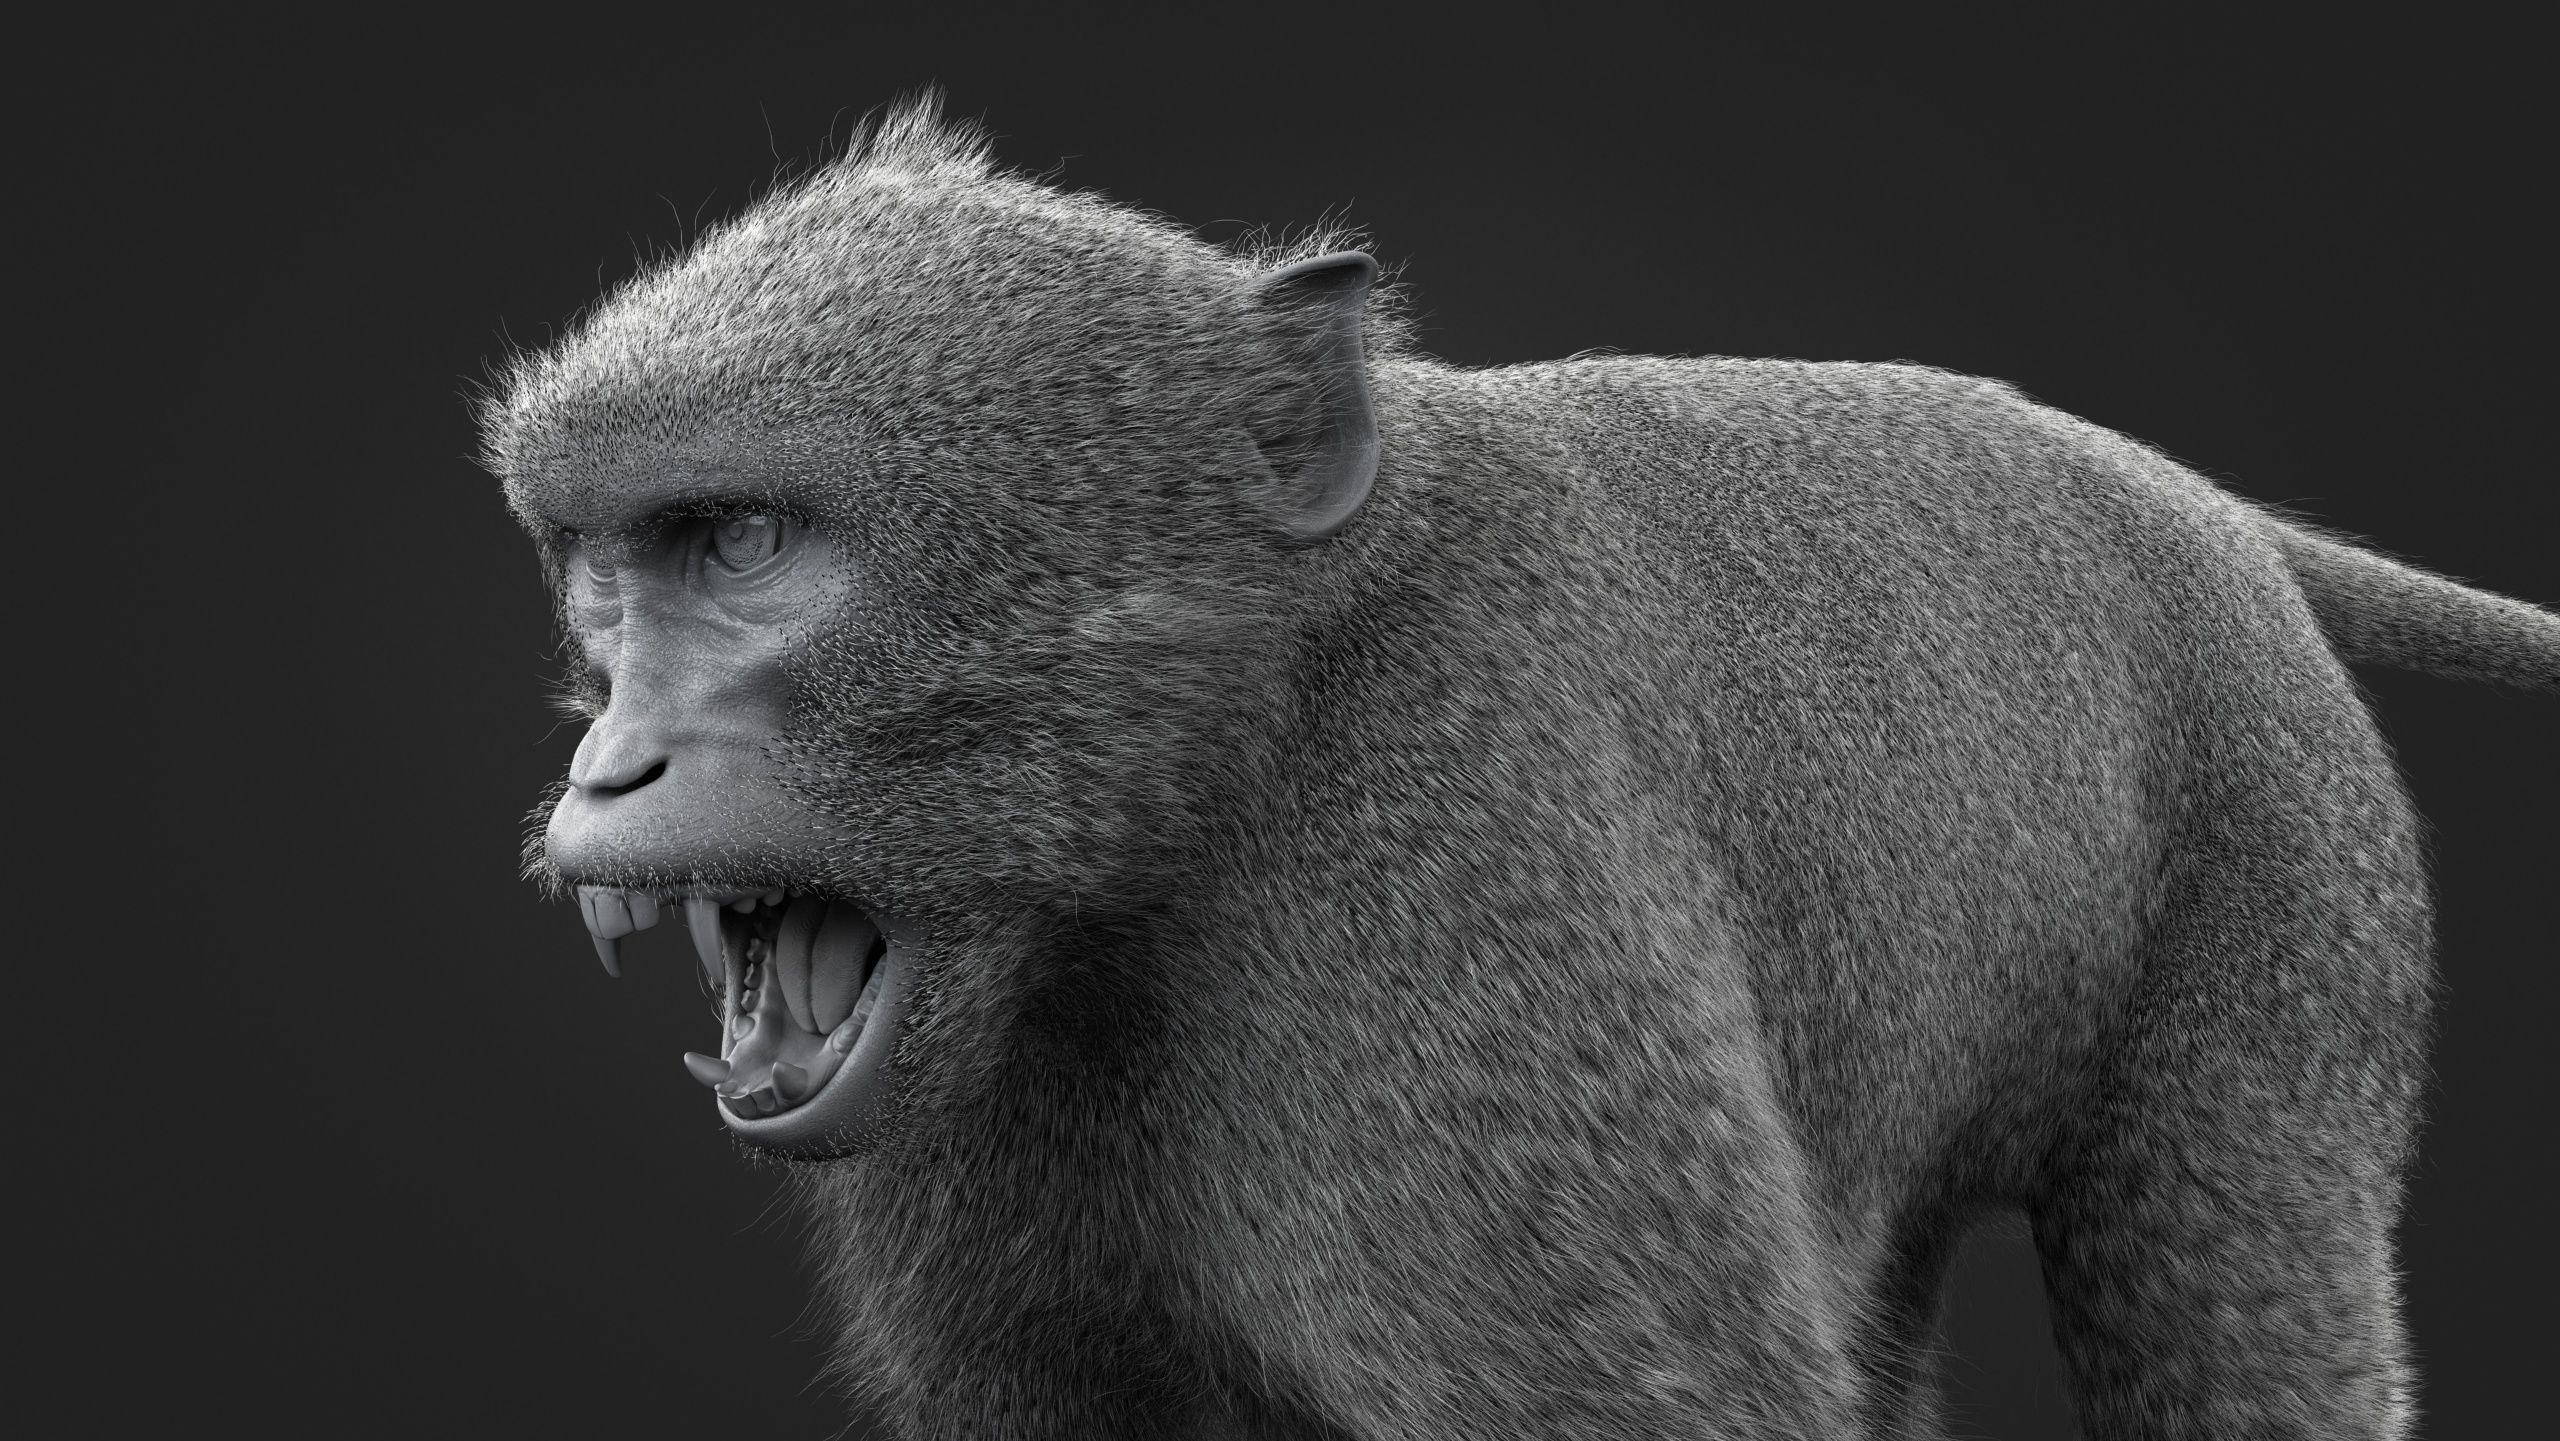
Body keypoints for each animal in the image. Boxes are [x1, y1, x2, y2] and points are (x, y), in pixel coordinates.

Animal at [480, 96, 2559, 1440]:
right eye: (609, 568)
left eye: (743, 544)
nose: (611, 762)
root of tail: (2198, 501)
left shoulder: (1457, 910)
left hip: (2278, 827)